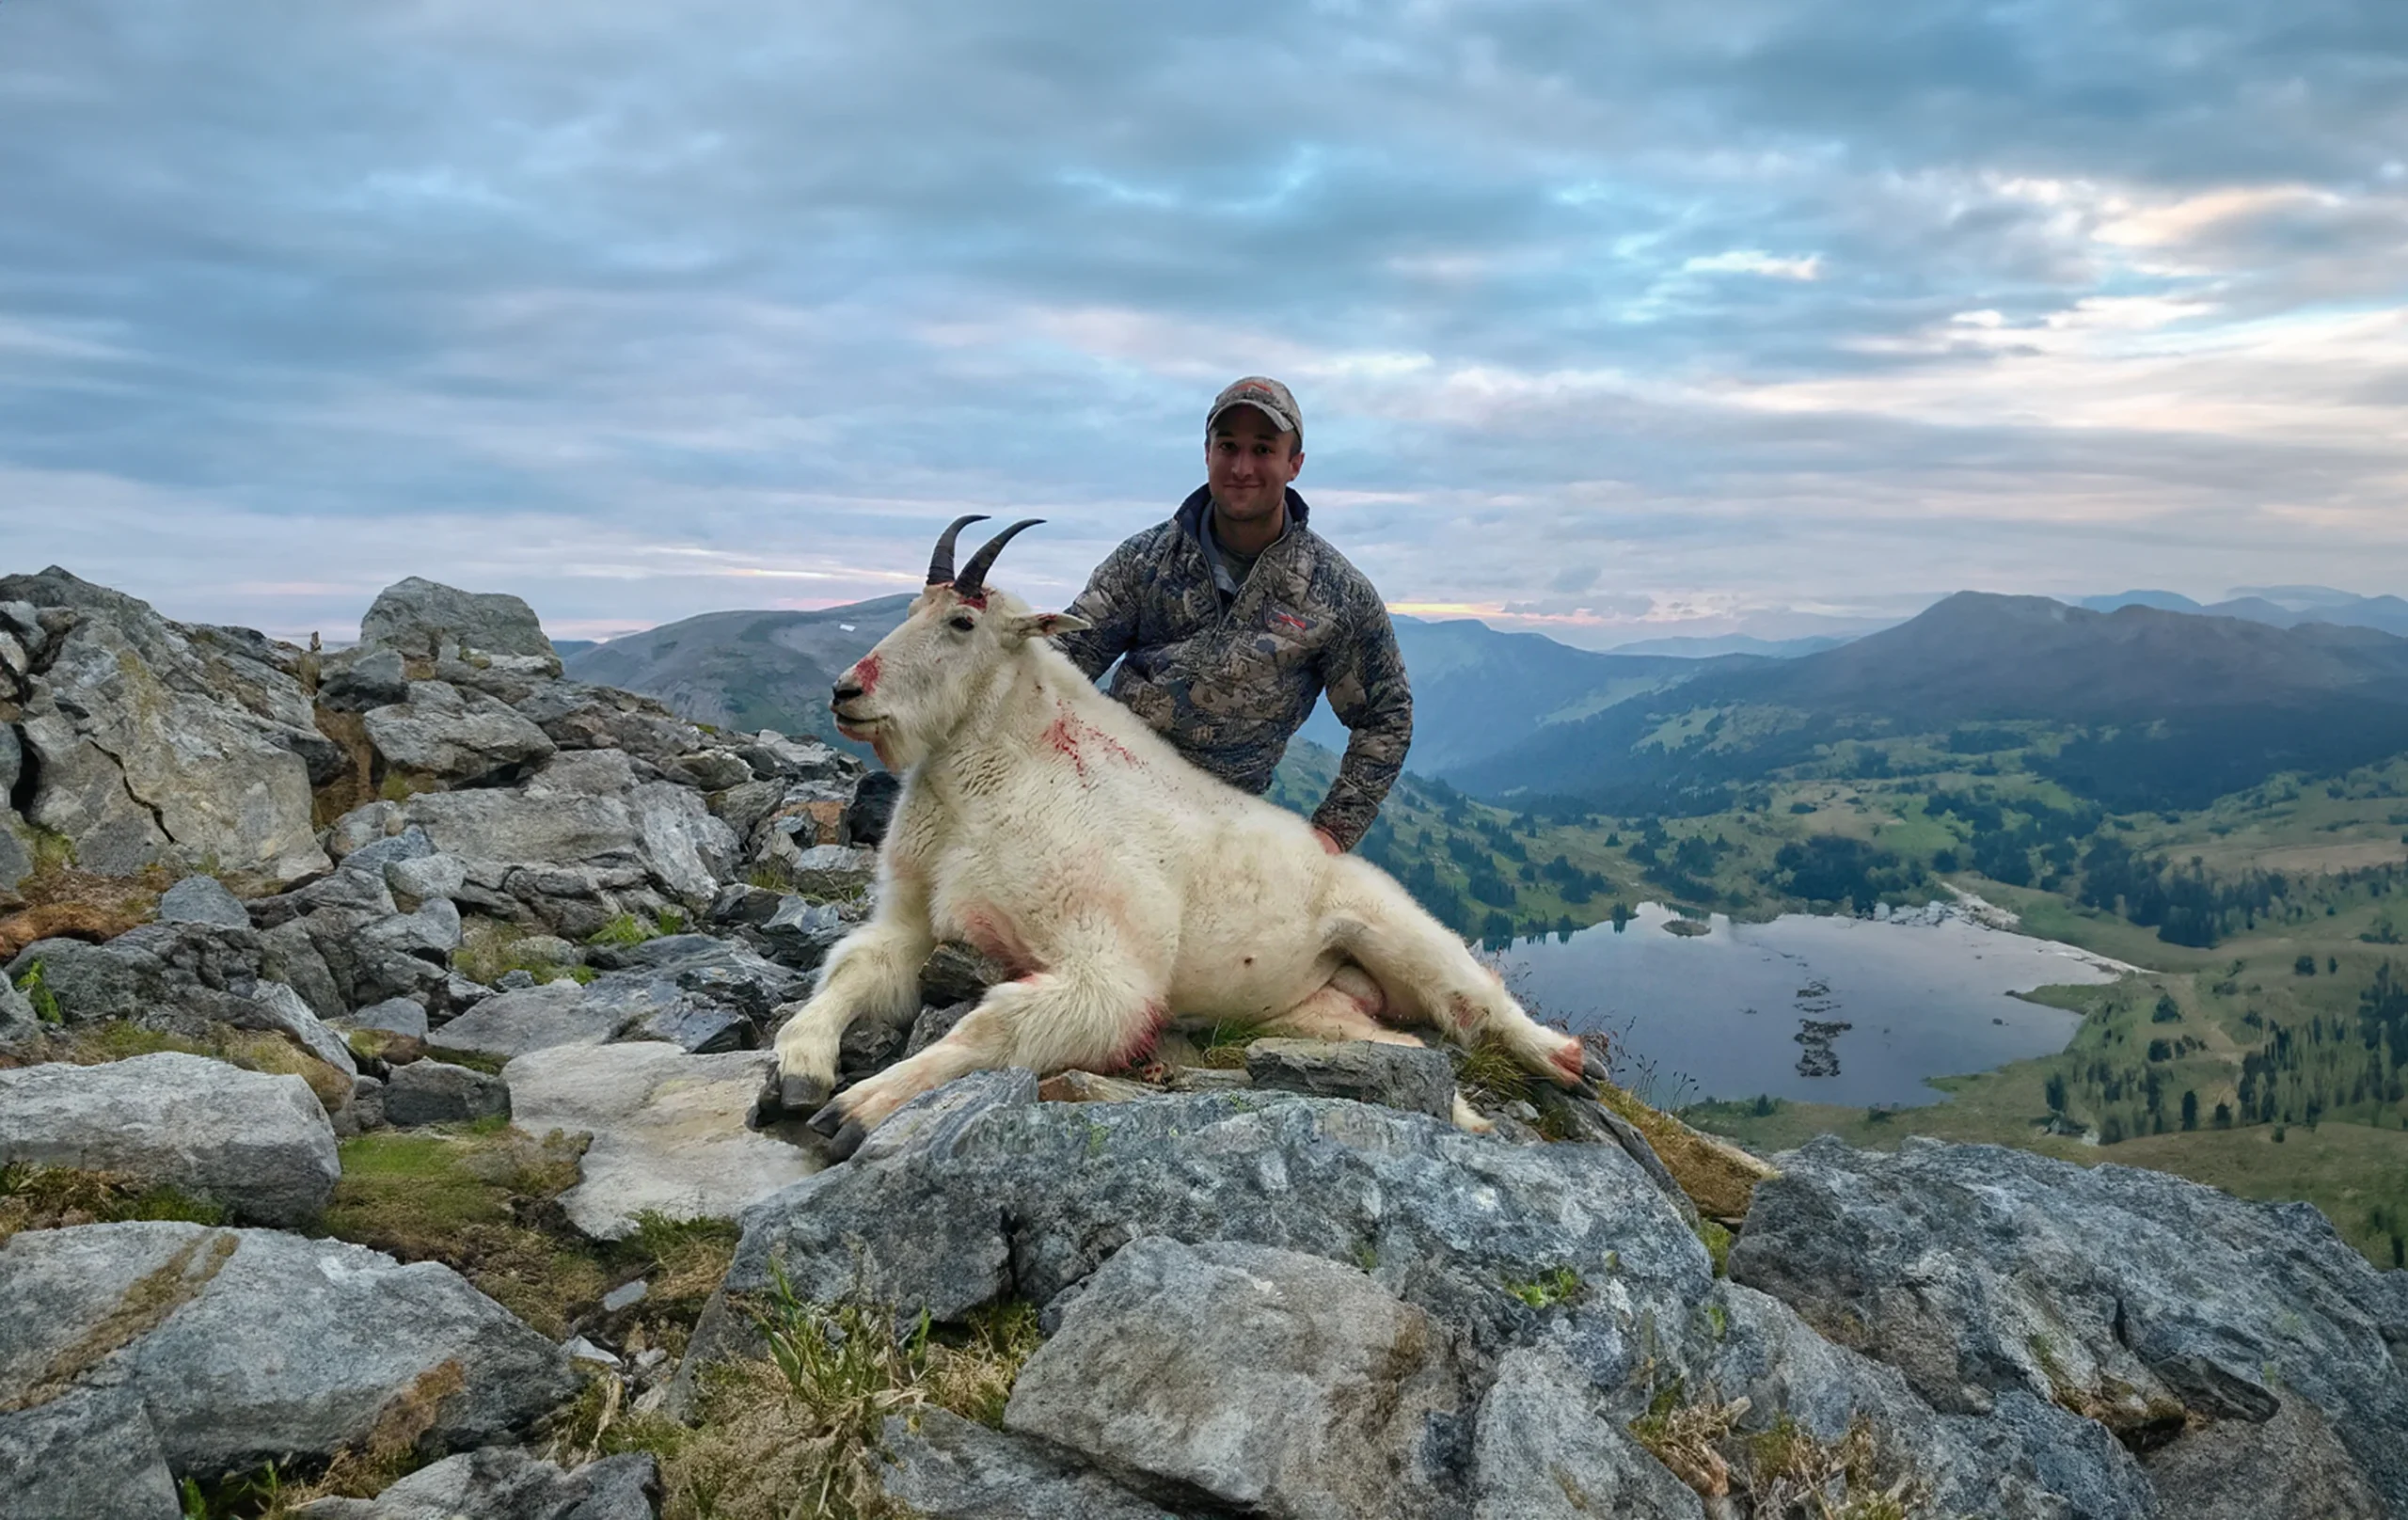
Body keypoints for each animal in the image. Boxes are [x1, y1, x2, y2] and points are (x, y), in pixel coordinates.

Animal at [762, 516, 1604, 1158]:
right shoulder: (911, 921)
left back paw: (1566, 1061)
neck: (995, 785)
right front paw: (798, 1067)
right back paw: (1470, 1117)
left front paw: (858, 1108)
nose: (847, 692)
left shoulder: (1109, 972)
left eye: (961, 621)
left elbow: (989, 1025)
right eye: (911, 608)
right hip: (1310, 1016)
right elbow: (855, 967)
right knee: (1410, 1054)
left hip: (1399, 933)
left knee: (1476, 1002)